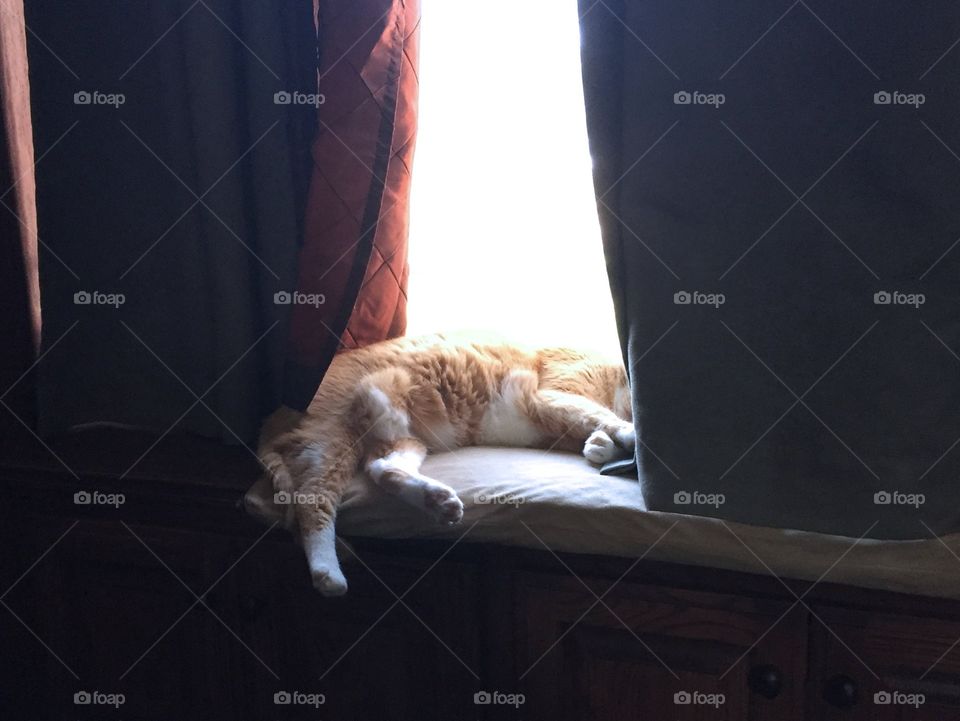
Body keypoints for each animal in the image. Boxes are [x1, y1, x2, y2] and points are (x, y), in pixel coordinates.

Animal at [258, 332, 636, 596]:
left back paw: (438, 502)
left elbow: (592, 427)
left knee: (382, 468)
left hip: (399, 439)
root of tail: (272, 416)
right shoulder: (552, 394)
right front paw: (627, 435)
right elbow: (598, 416)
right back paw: (328, 573)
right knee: (312, 501)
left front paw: (601, 446)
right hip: (333, 441)